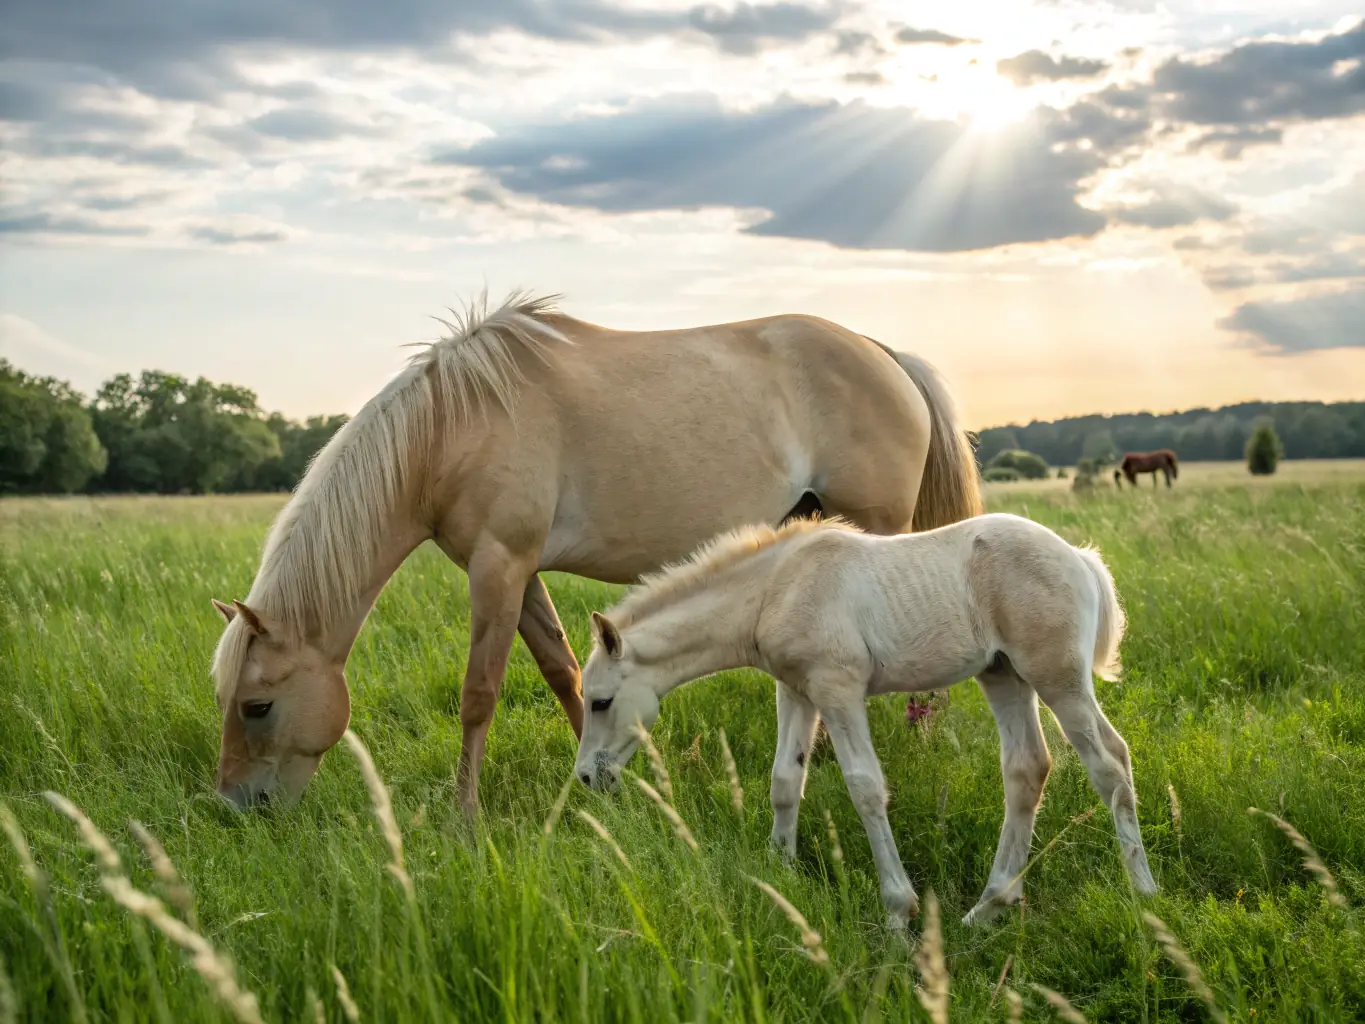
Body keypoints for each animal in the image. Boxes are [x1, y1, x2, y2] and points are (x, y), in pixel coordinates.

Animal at [210, 290, 983, 814]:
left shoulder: (498, 567)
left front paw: (465, 818)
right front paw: (610, 781)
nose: (235, 807)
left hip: (880, 530)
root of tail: (883, 354)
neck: (450, 427)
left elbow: (478, 695)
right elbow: (564, 672)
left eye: (256, 706)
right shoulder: (516, 574)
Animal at [573, 513, 1157, 930]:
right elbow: (785, 779)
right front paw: (780, 875)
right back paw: (987, 908)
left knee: (1109, 763)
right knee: (1027, 770)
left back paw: (1144, 893)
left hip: (1057, 679)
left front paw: (899, 912)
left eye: (600, 702)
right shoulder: (796, 690)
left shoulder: (839, 689)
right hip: (1004, 676)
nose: (585, 777)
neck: (775, 588)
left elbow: (866, 788)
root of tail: (1079, 557)